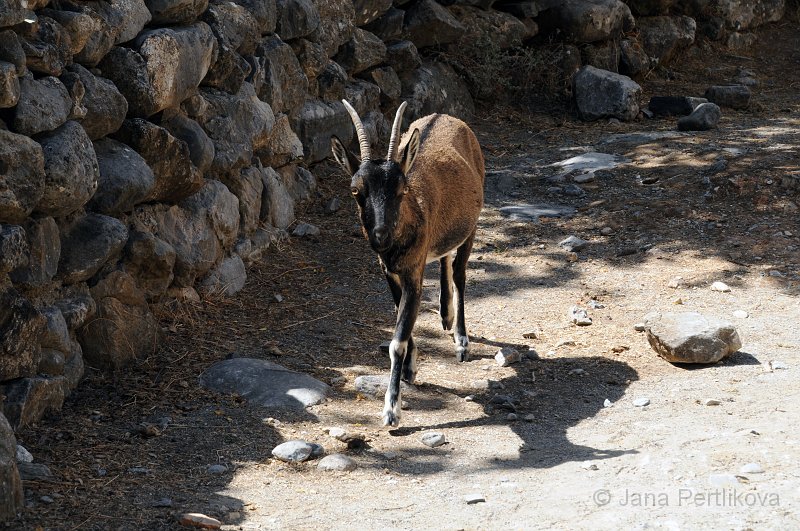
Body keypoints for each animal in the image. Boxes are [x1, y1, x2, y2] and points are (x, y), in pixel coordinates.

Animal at [330, 101, 484, 428]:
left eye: (401, 189)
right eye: (356, 191)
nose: (380, 235)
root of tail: (446, 116)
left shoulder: (413, 273)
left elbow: (397, 340)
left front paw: (391, 410)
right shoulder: (389, 271)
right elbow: (399, 312)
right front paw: (411, 368)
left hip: (472, 225)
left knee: (460, 273)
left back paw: (461, 339)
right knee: (444, 257)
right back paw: (445, 314)